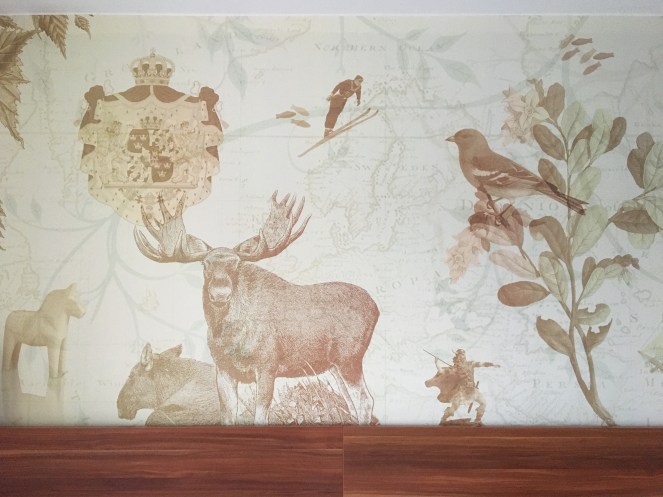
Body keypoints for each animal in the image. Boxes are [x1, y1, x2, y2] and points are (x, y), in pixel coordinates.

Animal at [133, 192, 379, 425]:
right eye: (205, 264)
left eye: (237, 263)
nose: (220, 292)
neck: (231, 338)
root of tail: (376, 308)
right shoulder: (223, 370)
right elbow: (228, 415)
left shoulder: (268, 366)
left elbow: (260, 416)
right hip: (335, 365)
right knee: (350, 402)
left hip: (349, 357)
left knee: (366, 400)